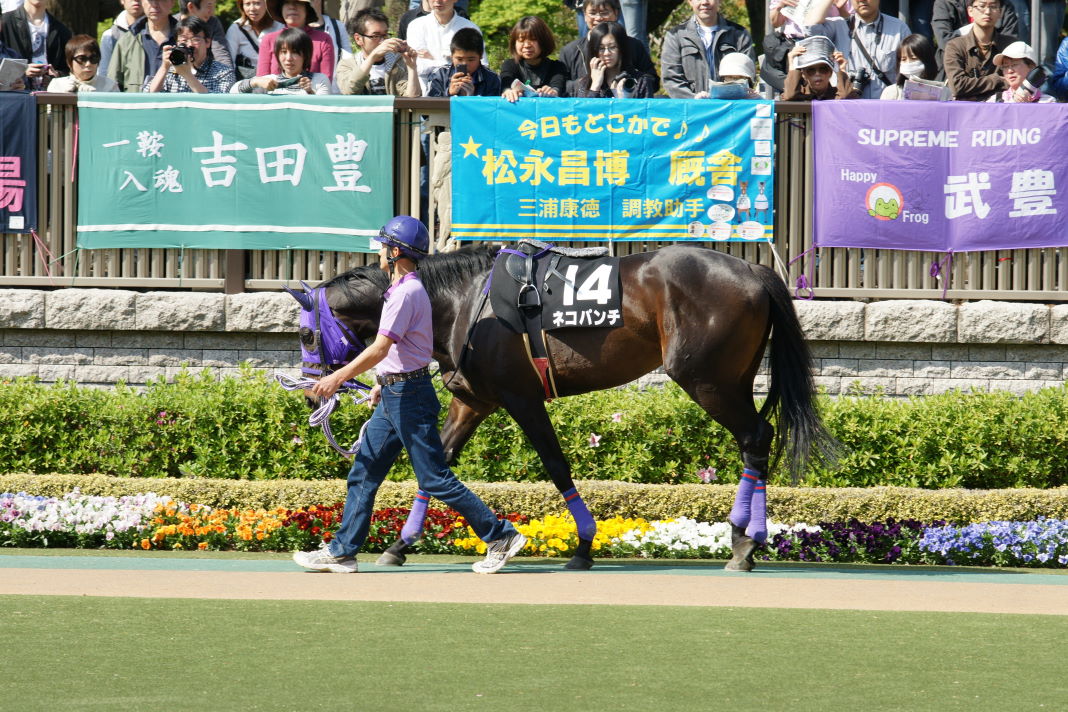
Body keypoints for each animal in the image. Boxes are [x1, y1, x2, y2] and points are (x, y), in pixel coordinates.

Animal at [290, 247, 833, 572]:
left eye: (305, 334)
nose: (313, 393)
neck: (463, 301)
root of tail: (754, 269)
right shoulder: (474, 398)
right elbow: (436, 466)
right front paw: (399, 545)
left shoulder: (521, 397)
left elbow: (555, 464)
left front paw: (584, 546)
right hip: (731, 378)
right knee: (755, 440)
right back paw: (749, 538)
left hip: (705, 379)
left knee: (755, 438)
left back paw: (743, 544)